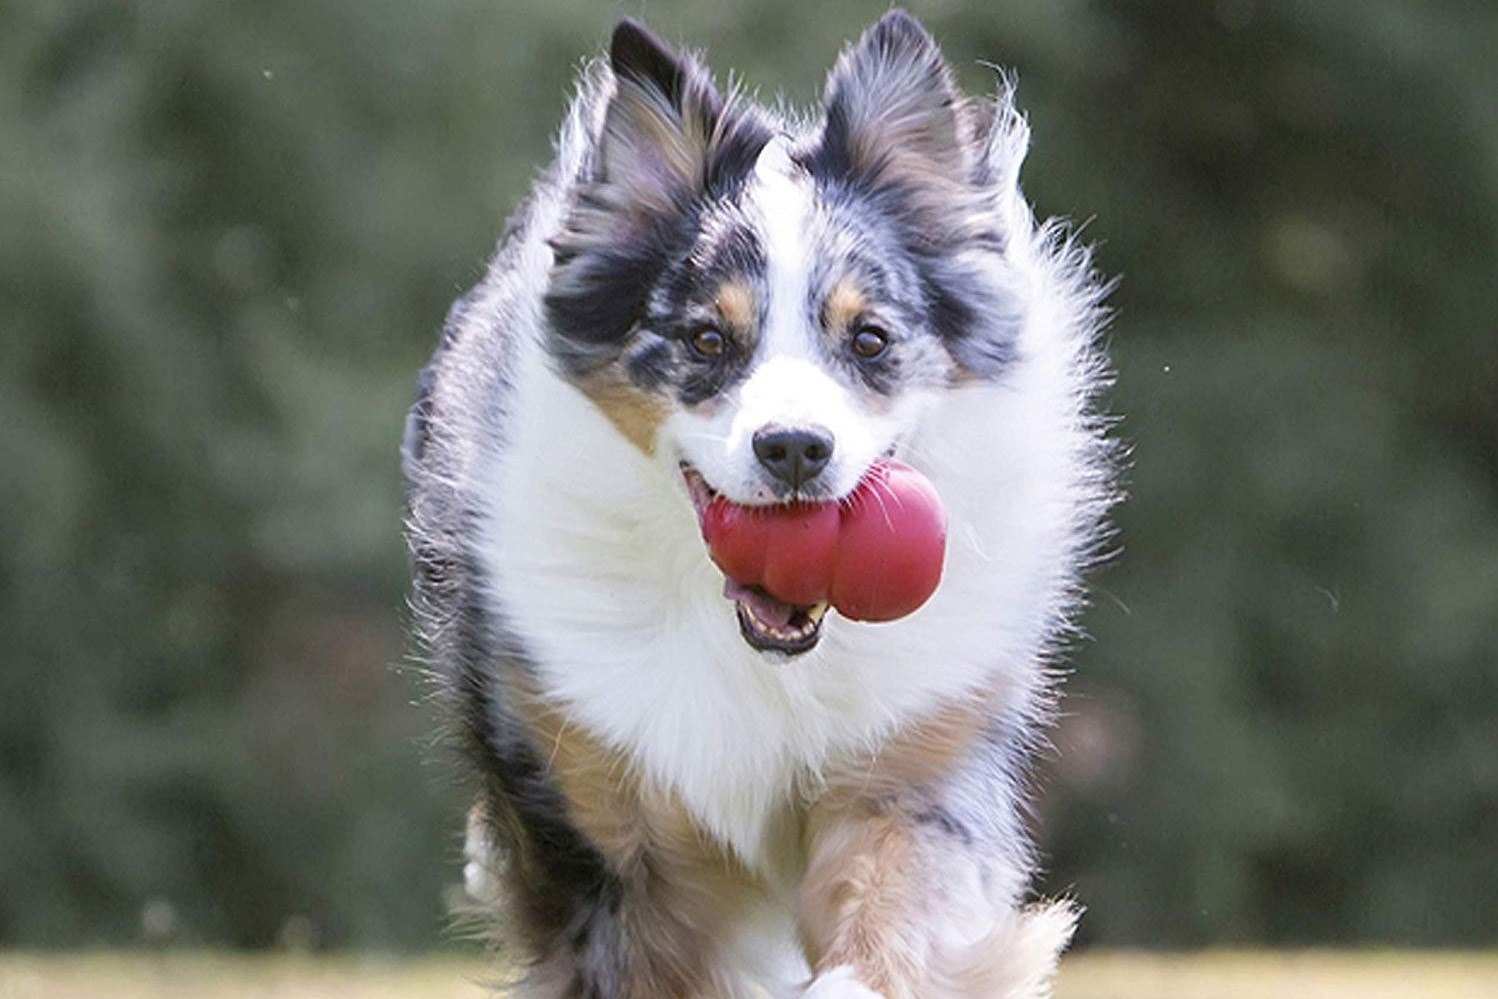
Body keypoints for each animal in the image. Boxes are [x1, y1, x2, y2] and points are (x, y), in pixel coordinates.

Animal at [398, 9, 1114, 999]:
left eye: (870, 339)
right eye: (707, 338)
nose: (795, 448)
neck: (759, 651)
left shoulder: (912, 764)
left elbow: (894, 904)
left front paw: (854, 980)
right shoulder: (607, 824)